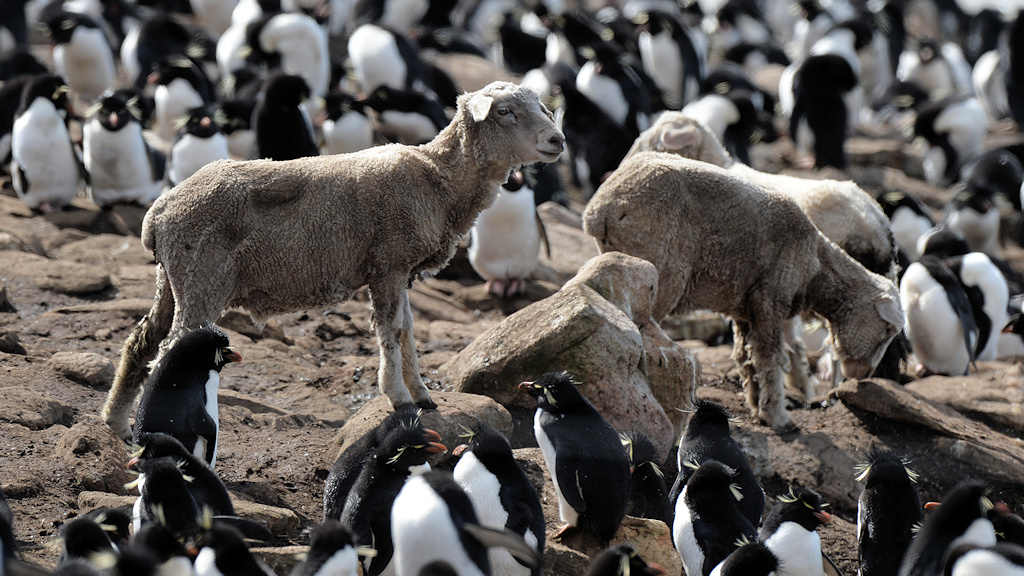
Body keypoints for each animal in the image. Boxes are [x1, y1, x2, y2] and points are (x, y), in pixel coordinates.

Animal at [101, 81, 566, 440]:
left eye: (541, 107)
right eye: (504, 111)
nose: (557, 140)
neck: (437, 179)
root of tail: (158, 213)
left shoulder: (400, 271)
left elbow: (408, 330)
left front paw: (423, 394)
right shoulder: (388, 264)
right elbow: (392, 331)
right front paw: (398, 397)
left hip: (173, 281)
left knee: (141, 341)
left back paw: (117, 424)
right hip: (203, 279)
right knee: (169, 351)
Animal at [582, 151, 904, 430]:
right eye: (888, 330)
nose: (864, 375)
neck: (815, 269)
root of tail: (600, 209)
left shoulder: (745, 309)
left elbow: (746, 358)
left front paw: (756, 405)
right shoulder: (769, 300)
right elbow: (770, 360)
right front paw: (778, 416)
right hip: (658, 263)